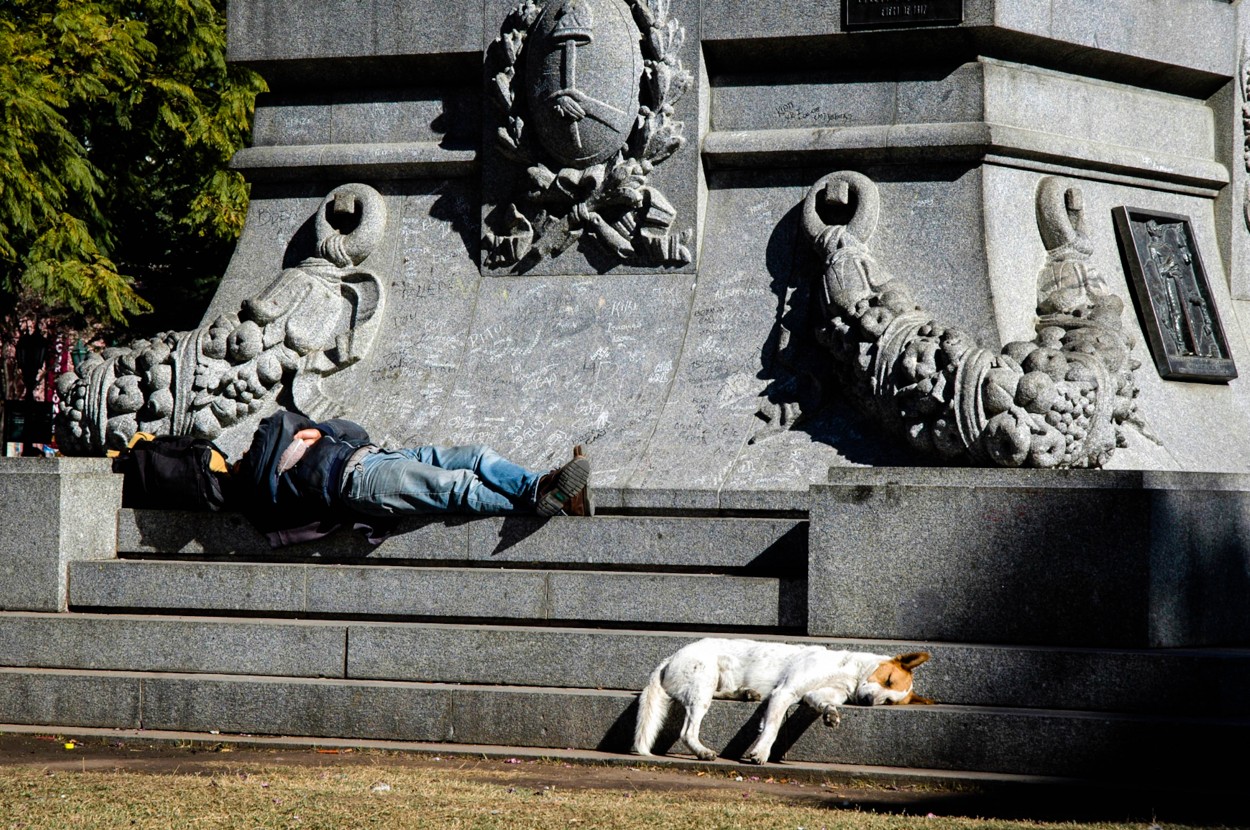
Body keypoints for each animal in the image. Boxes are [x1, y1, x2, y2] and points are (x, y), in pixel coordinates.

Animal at [630, 635, 935, 765]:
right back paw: (702, 751)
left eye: (889, 701)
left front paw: (831, 715)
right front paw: (761, 752)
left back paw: (745, 693)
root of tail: (669, 659)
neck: (848, 671)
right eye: (889, 680)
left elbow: (823, 703)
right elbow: (773, 727)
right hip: (702, 684)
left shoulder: (815, 694)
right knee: (686, 732)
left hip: (712, 683)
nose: (869, 701)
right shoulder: (785, 692)